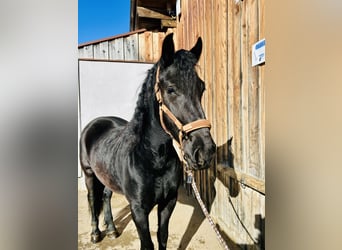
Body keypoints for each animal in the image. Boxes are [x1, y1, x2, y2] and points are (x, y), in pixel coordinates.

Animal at [79, 33, 215, 250]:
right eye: (171, 89)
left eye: (201, 88)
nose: (204, 150)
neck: (152, 158)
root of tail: (97, 121)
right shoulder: (139, 210)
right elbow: (147, 243)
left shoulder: (168, 202)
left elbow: (162, 236)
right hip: (89, 174)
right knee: (93, 199)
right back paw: (95, 233)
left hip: (106, 175)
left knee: (106, 196)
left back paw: (112, 229)